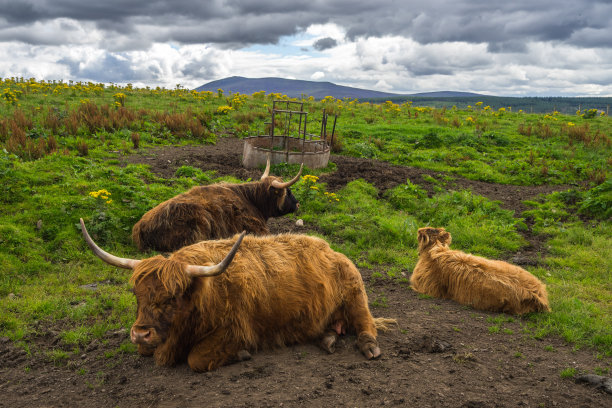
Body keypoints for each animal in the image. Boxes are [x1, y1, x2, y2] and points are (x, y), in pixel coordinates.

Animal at [80, 218, 392, 372]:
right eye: (137, 294)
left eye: (172, 297)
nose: (140, 333)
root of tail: (332, 250)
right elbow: (146, 351)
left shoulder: (236, 330)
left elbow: (196, 360)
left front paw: (241, 355)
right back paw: (327, 339)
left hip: (355, 295)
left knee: (366, 323)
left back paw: (368, 347)